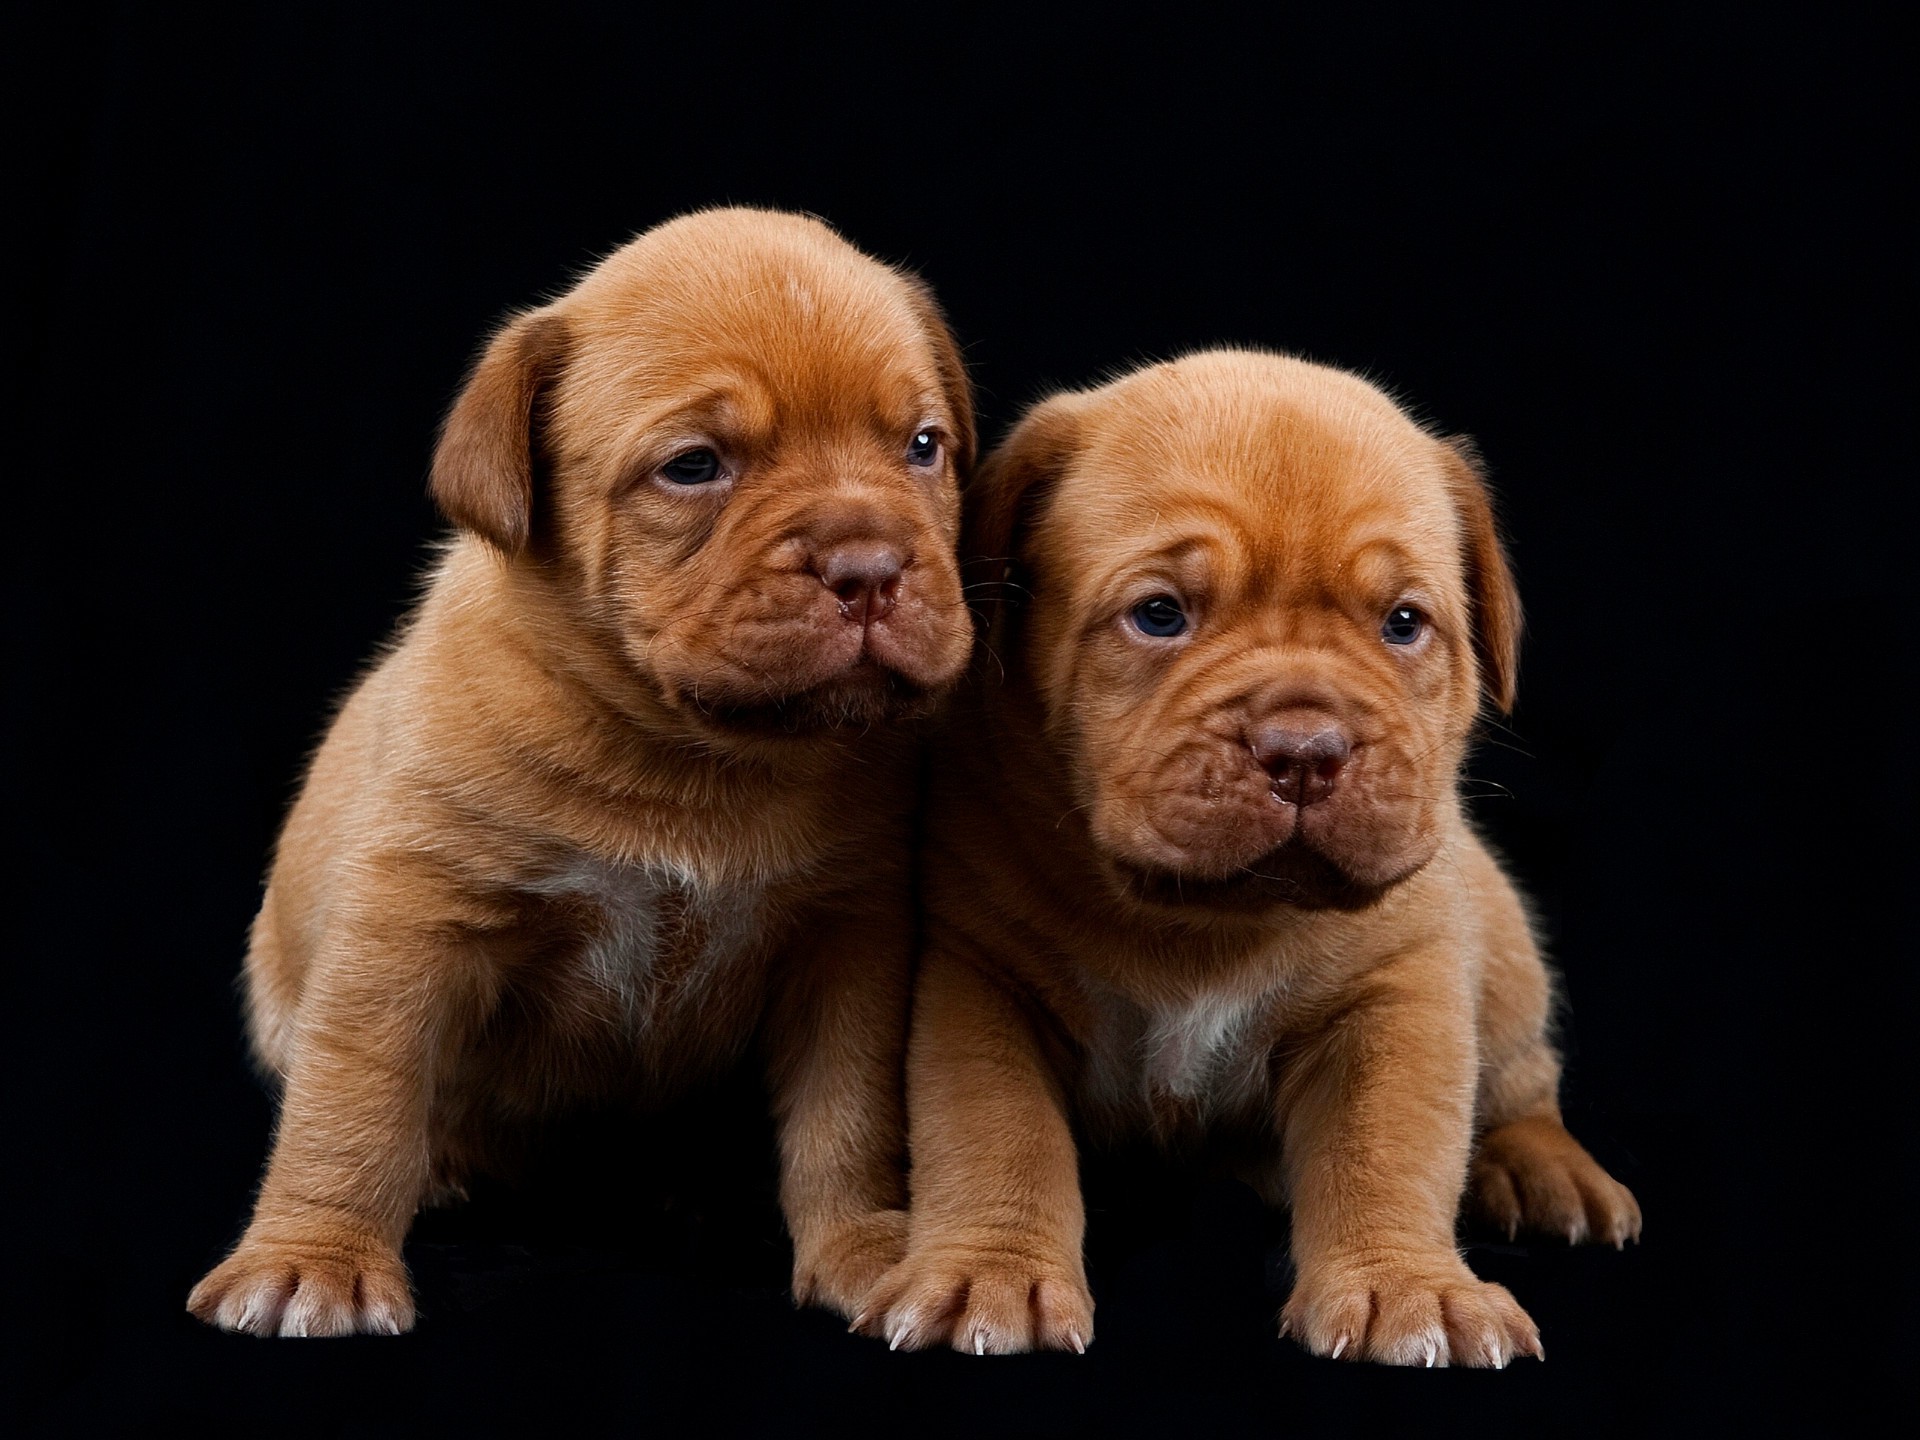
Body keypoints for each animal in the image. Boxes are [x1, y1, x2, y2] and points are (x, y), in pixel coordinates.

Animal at [189, 205, 975, 1344]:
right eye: (693, 466)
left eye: (922, 447)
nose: (870, 569)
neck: (691, 755)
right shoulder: (410, 918)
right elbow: (355, 1101)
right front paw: (312, 1257)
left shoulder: (850, 941)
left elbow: (849, 1114)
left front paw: (866, 1246)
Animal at [867, 347, 1635, 1367]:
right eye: (1160, 615)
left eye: (1402, 624)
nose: (1305, 749)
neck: (1206, 918)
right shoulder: (983, 982)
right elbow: (995, 1129)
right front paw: (988, 1271)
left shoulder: (1396, 993)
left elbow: (1387, 1146)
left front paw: (1408, 1287)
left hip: (1505, 952)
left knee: (1522, 1079)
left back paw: (1544, 1168)